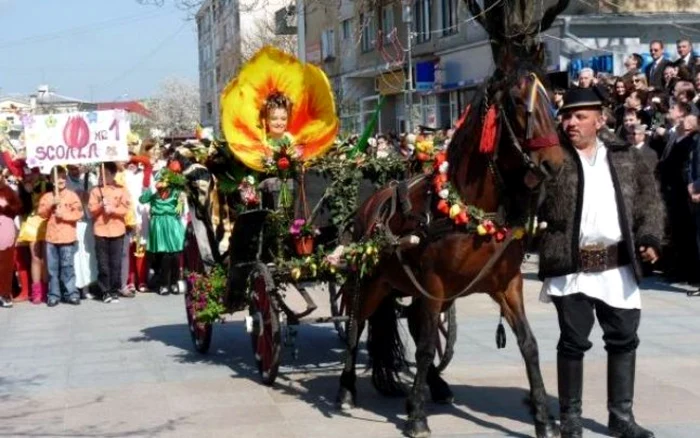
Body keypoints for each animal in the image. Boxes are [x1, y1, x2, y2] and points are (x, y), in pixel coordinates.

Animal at [334, 44, 568, 438]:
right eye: (519, 102)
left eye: (553, 101)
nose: (555, 164)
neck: (469, 208)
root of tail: (369, 203)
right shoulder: (433, 285)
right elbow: (426, 346)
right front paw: (416, 416)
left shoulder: (507, 284)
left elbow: (529, 344)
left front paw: (543, 418)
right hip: (369, 285)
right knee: (355, 327)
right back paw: (347, 389)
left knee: (411, 323)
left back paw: (436, 385)